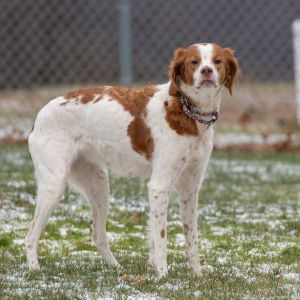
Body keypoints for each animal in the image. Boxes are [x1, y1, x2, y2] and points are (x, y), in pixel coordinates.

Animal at [27, 42, 240, 276]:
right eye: (194, 61)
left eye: (217, 61)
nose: (206, 71)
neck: (187, 111)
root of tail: (40, 115)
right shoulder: (159, 186)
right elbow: (161, 238)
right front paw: (163, 275)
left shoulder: (190, 189)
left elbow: (191, 238)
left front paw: (197, 275)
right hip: (54, 185)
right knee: (30, 234)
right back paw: (34, 268)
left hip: (99, 187)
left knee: (98, 236)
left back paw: (116, 268)